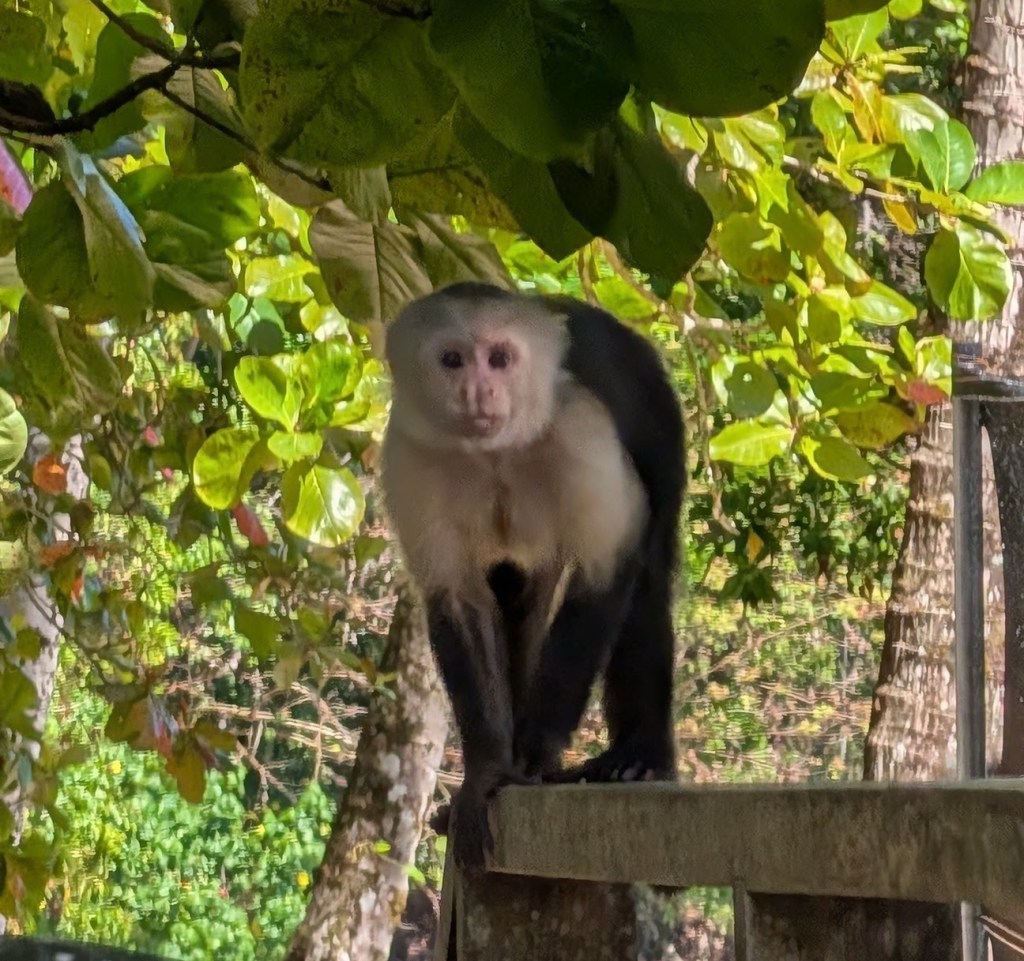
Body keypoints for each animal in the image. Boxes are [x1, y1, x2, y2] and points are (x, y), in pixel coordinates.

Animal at [380, 282, 685, 871]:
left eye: (500, 359)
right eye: (452, 360)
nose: (478, 391)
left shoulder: (581, 429)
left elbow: (606, 569)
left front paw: (537, 751)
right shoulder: (407, 454)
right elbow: (460, 600)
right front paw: (487, 771)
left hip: (658, 411)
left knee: (645, 579)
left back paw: (637, 756)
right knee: (517, 592)